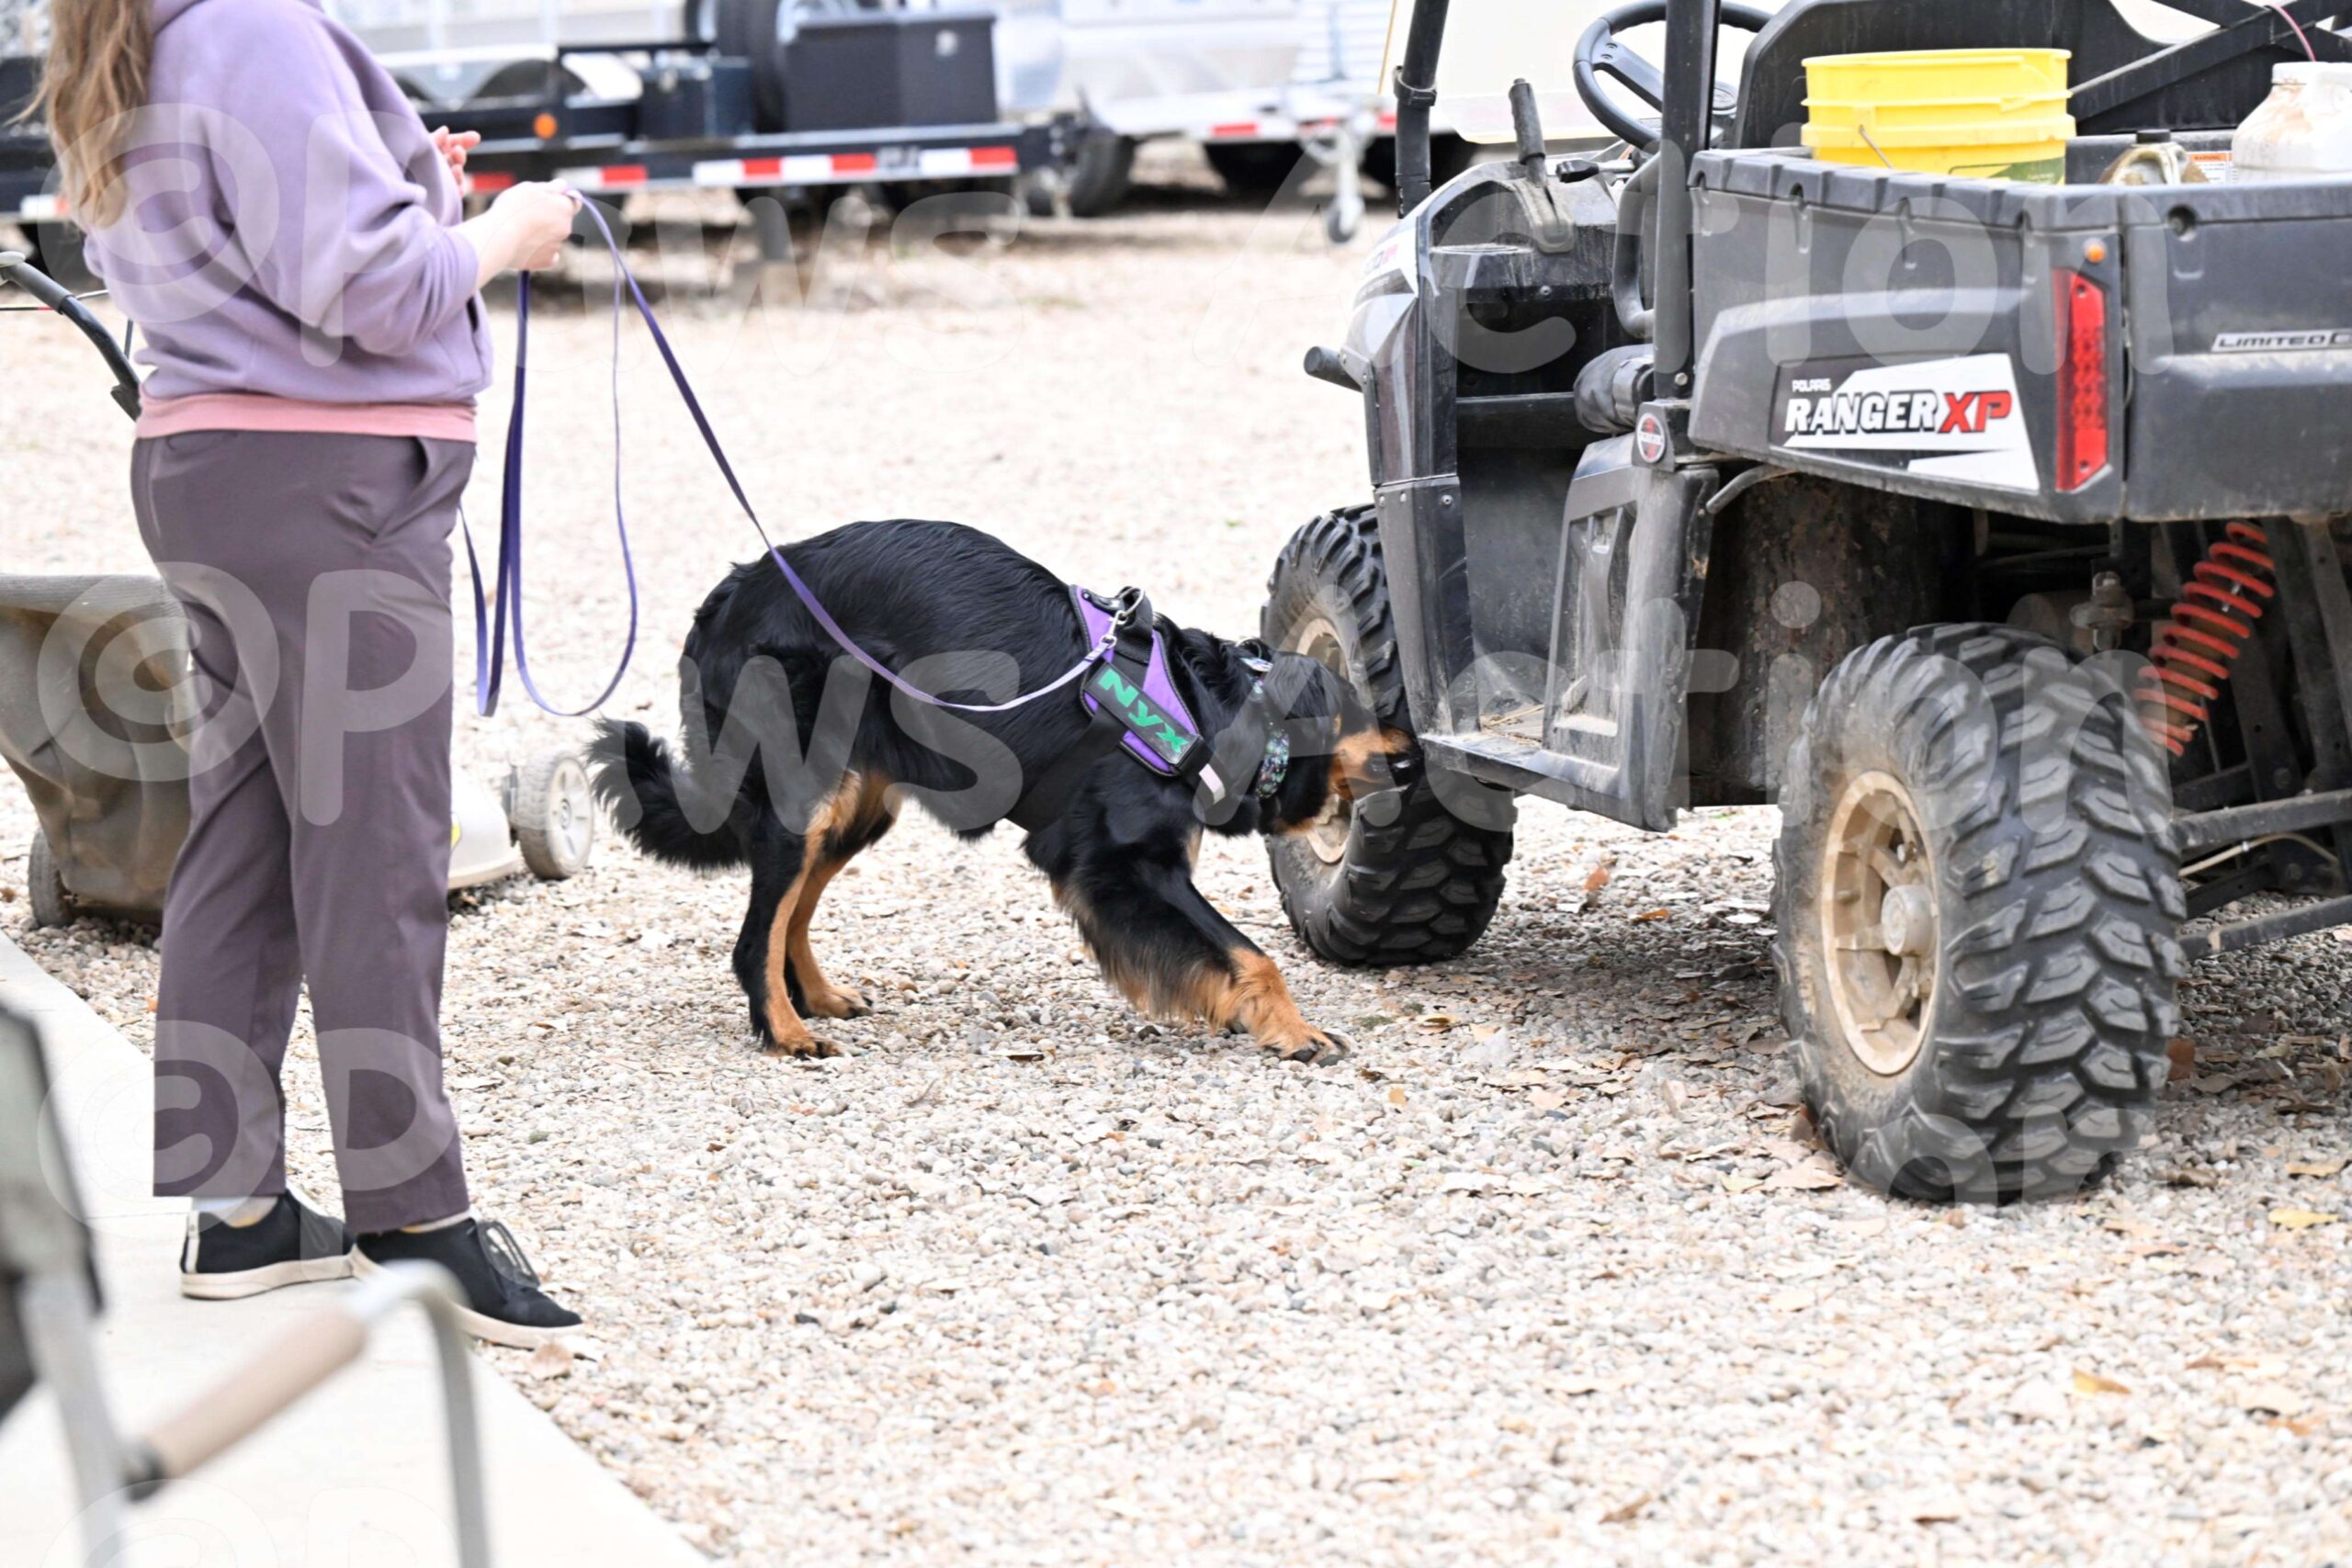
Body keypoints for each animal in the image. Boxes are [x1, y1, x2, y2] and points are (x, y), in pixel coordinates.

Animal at [592, 519, 1413, 1064]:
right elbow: (1250, 954)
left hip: (857, 805)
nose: (1413, 758)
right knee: (755, 935)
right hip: (804, 796)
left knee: (791, 913)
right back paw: (786, 1031)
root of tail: (728, 595)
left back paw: (817, 998)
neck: (1210, 707)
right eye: (1373, 715)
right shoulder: (1118, 863)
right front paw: (1295, 1030)